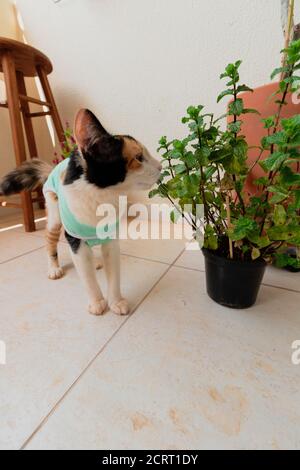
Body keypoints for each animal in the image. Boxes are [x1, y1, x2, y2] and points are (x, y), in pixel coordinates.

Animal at [0, 109, 162, 316]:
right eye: (139, 158)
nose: (160, 166)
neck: (102, 195)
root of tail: (53, 169)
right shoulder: (75, 239)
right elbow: (87, 277)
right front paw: (97, 302)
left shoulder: (110, 239)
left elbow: (113, 273)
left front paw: (115, 301)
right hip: (54, 215)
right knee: (50, 241)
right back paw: (54, 268)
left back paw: (94, 262)